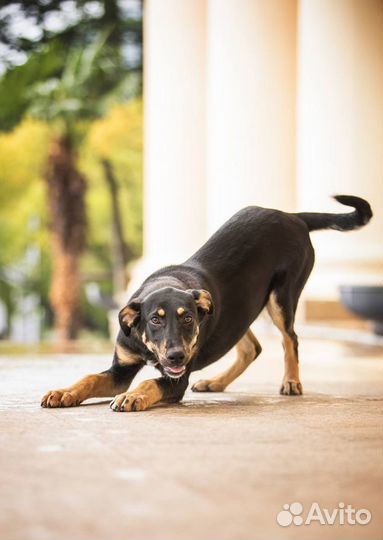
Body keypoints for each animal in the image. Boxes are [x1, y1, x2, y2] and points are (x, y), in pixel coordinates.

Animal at [41, 196, 372, 412]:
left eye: (188, 318)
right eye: (155, 319)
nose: (176, 356)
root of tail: (293, 216)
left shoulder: (176, 380)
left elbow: (150, 383)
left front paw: (132, 397)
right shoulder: (121, 368)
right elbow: (89, 378)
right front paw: (63, 392)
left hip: (282, 298)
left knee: (290, 339)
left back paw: (291, 382)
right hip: (238, 310)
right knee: (252, 347)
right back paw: (215, 383)